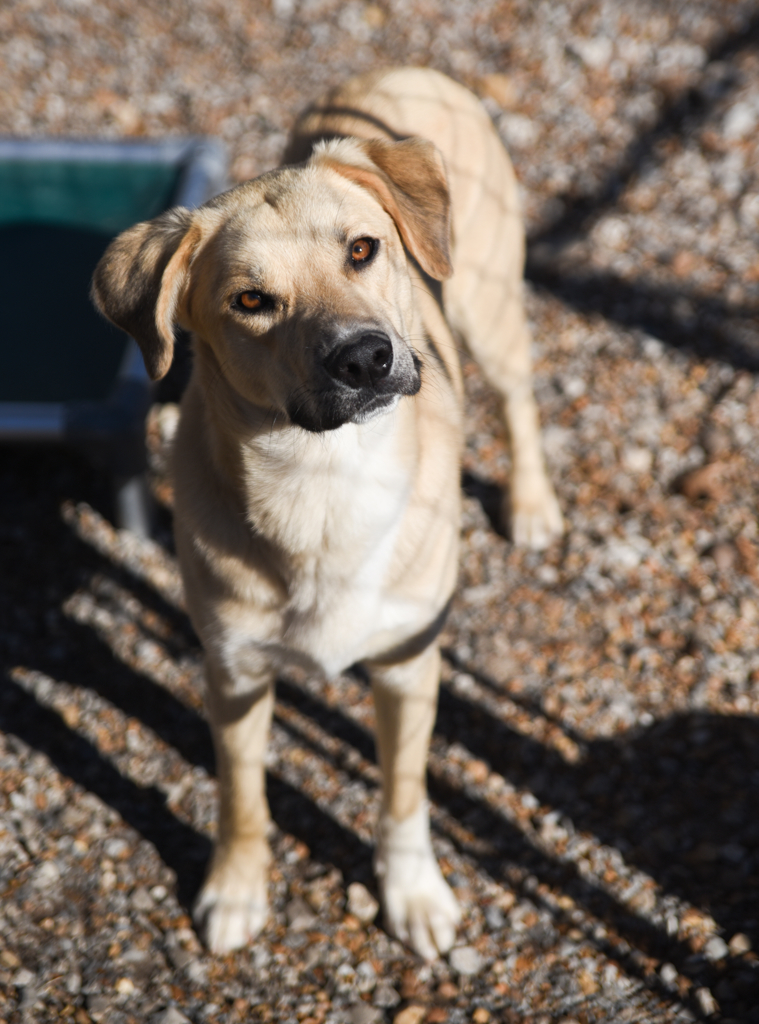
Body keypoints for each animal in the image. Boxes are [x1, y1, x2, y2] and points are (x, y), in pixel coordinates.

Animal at [91, 66, 561, 958]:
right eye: (250, 300)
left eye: (361, 249)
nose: (366, 358)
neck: (323, 485)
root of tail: (395, 69)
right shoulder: (234, 673)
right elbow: (241, 795)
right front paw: (235, 887)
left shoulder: (408, 663)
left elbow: (403, 797)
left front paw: (411, 895)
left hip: (487, 308)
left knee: (519, 396)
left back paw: (531, 503)